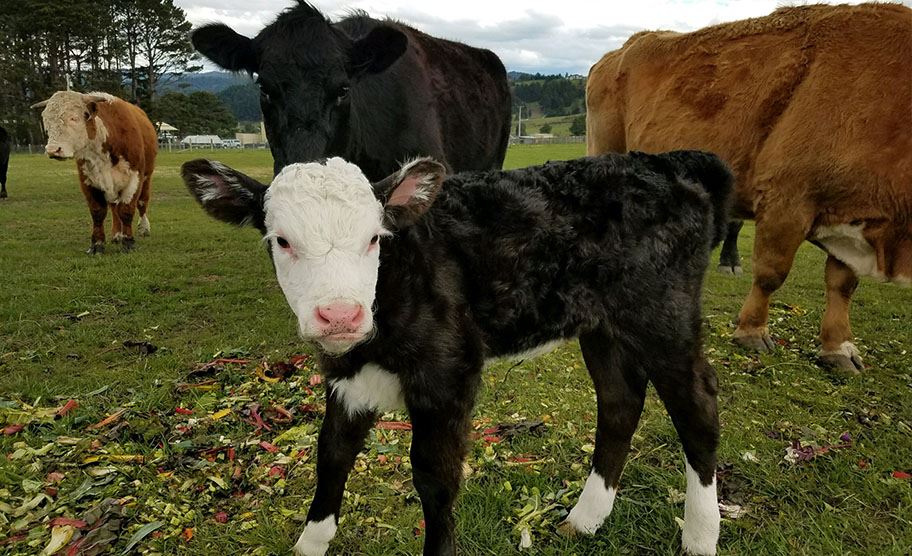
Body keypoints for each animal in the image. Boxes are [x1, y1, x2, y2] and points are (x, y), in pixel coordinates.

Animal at [31, 91, 157, 254]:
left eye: (74, 118)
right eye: (47, 122)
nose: (53, 150)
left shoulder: (134, 179)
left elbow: (127, 210)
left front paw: (128, 242)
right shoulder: (88, 181)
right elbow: (98, 212)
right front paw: (97, 244)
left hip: (147, 177)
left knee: (142, 202)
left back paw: (144, 228)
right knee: (114, 207)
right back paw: (117, 234)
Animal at [181, 151, 733, 556]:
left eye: (374, 238)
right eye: (281, 240)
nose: (339, 315)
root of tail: (664, 161)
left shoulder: (448, 373)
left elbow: (435, 477)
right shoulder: (348, 378)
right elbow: (332, 455)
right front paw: (309, 544)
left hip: (663, 315)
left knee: (698, 406)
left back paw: (700, 537)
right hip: (602, 326)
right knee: (620, 401)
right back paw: (585, 519)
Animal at [586, 3, 912, 372]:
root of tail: (617, 52)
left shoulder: (851, 212)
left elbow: (843, 283)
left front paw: (838, 348)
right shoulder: (787, 199)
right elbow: (772, 272)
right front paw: (752, 331)